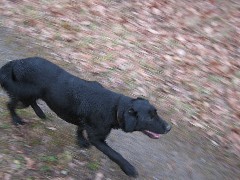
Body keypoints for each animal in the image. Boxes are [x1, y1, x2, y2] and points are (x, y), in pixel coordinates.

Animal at [0, 57, 171, 177]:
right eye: (149, 118)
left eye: (156, 112)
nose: (169, 127)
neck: (114, 107)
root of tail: (16, 63)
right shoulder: (97, 138)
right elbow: (115, 154)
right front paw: (128, 168)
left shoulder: (84, 121)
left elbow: (80, 128)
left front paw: (80, 141)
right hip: (24, 95)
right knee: (10, 104)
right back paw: (16, 120)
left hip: (31, 95)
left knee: (31, 102)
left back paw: (40, 113)